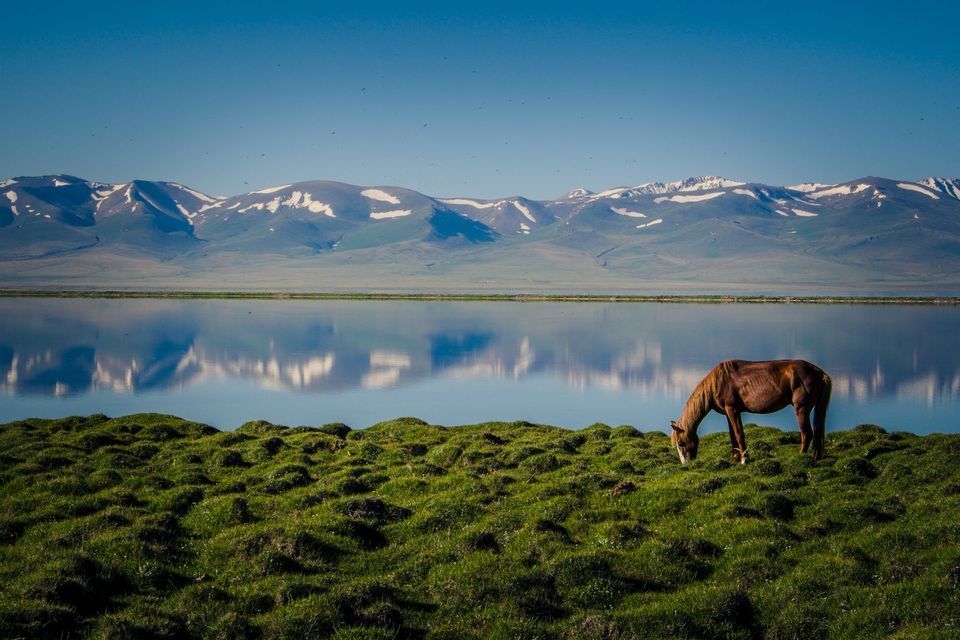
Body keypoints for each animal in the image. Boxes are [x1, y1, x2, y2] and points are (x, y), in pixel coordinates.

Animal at [669, 359, 832, 465]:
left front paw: (744, 459)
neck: (717, 383)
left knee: (807, 433)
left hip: (801, 409)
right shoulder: (728, 412)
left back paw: (801, 457)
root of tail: (820, 373)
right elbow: (732, 436)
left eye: (681, 443)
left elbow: (739, 434)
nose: (686, 464)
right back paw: (816, 457)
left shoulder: (733, 410)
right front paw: (735, 458)